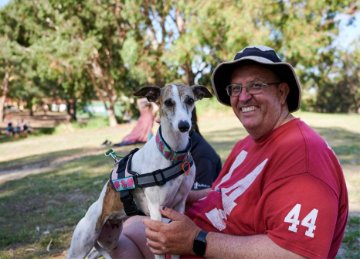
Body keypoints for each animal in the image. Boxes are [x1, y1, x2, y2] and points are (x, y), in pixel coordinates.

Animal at [67, 84, 211, 259]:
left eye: (190, 100)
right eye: (168, 102)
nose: (184, 126)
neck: (172, 153)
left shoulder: (179, 206)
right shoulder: (156, 214)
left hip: (109, 240)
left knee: (96, 251)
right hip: (81, 245)